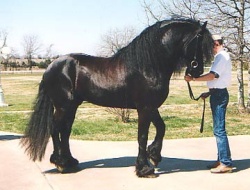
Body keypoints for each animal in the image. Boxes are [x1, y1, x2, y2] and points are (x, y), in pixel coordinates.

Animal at [21, 18, 213, 177]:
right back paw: (60, 163)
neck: (148, 66)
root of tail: (51, 67)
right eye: (199, 41)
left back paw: (70, 162)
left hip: (72, 106)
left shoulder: (151, 107)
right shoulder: (144, 108)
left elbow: (161, 128)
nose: (197, 71)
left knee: (65, 131)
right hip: (63, 106)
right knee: (55, 129)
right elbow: (142, 135)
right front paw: (144, 168)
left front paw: (154, 154)